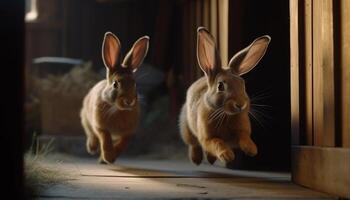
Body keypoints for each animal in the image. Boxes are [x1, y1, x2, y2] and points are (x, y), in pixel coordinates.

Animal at [80, 31, 149, 164]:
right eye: (115, 84)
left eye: (134, 84)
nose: (129, 101)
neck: (117, 109)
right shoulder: (100, 127)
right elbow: (105, 138)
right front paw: (109, 156)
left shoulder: (128, 133)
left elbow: (122, 144)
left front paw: (111, 157)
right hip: (85, 117)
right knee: (91, 133)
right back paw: (92, 148)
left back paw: (102, 160)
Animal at [179, 27, 270, 166]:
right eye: (220, 86)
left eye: (242, 84)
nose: (240, 105)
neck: (226, 115)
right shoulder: (207, 138)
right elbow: (217, 142)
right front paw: (227, 155)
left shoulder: (241, 131)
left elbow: (244, 137)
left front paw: (251, 149)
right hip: (186, 129)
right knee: (194, 144)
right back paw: (196, 160)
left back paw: (211, 160)